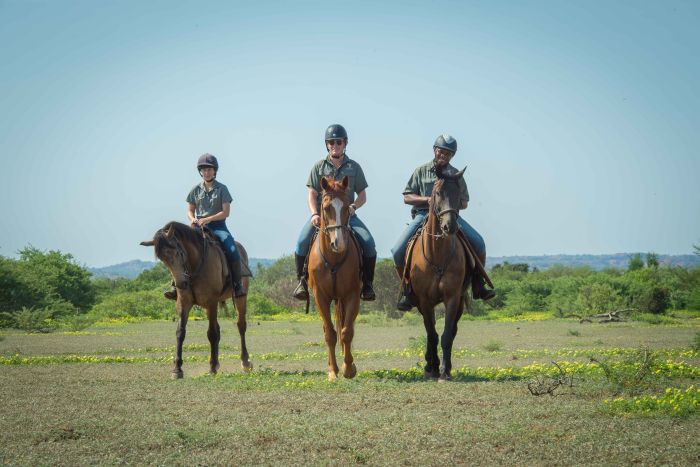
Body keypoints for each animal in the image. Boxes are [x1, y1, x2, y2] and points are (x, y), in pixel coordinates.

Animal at [141, 221, 253, 378]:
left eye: (178, 253)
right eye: (163, 260)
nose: (181, 284)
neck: (195, 265)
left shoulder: (211, 302)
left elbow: (212, 334)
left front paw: (211, 368)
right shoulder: (184, 303)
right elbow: (180, 332)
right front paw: (177, 369)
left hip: (240, 299)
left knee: (240, 326)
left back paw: (245, 363)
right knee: (218, 328)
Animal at [306, 177, 360, 382]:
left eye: (346, 206)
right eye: (326, 207)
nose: (339, 243)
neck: (334, 259)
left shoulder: (352, 295)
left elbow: (346, 331)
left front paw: (349, 368)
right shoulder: (320, 297)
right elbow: (330, 333)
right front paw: (333, 371)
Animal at [402, 166, 474, 382]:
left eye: (459, 194)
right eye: (438, 193)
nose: (449, 227)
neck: (438, 254)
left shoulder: (452, 298)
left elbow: (446, 334)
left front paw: (444, 371)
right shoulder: (424, 300)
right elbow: (432, 334)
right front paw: (433, 369)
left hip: (459, 302)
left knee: (452, 330)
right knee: (429, 330)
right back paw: (429, 364)